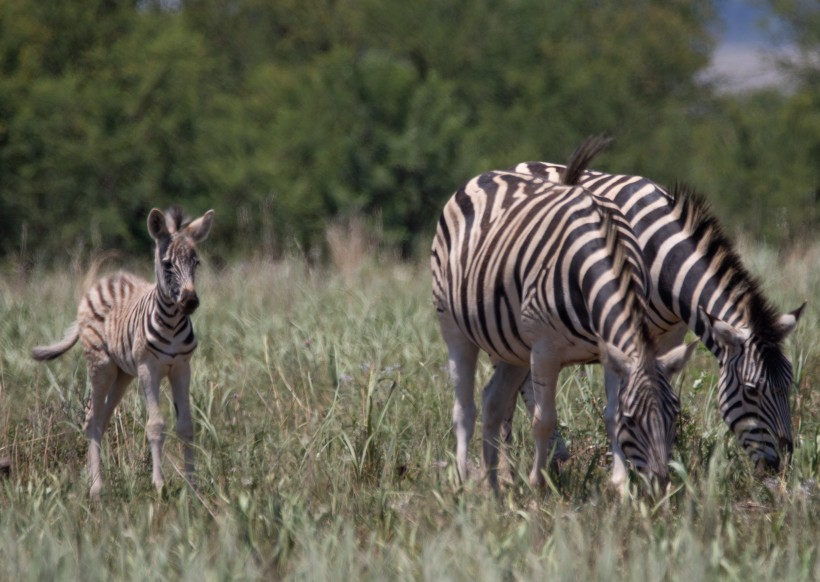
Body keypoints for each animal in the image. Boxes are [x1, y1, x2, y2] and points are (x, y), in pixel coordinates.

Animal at [32, 208, 215, 500]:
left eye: (196, 263)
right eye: (167, 264)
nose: (190, 302)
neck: (173, 323)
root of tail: (106, 279)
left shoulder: (182, 368)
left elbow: (186, 426)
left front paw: (192, 488)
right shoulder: (148, 369)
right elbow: (155, 425)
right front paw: (159, 486)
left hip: (123, 375)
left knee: (101, 418)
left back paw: (96, 480)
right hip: (101, 366)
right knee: (92, 419)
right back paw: (96, 488)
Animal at [432, 141, 696, 492]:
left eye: (675, 415)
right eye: (632, 420)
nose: (659, 486)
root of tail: (482, 176)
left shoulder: (609, 347)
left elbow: (609, 413)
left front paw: (620, 486)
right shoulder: (545, 349)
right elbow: (544, 419)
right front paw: (538, 483)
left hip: (513, 345)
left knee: (493, 401)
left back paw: (494, 485)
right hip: (453, 325)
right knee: (464, 408)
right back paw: (463, 481)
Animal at [502, 140, 804, 474]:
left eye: (789, 384)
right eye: (752, 390)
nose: (782, 465)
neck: (663, 259)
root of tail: (521, 165)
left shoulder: (672, 334)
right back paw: (540, 454)